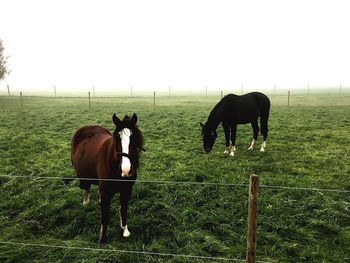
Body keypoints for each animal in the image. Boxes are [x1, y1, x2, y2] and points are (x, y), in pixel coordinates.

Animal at [71, 113, 144, 243]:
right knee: (86, 187)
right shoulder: (106, 191)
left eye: (134, 139)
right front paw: (102, 238)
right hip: (82, 175)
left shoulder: (127, 190)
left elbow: (123, 209)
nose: (126, 170)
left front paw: (125, 230)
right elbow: (105, 215)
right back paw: (85, 202)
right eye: (116, 139)